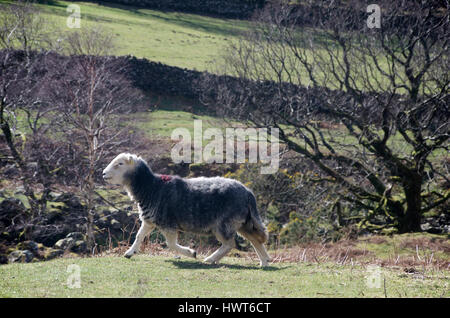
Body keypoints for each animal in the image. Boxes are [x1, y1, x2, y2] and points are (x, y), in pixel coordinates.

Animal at [102, 153, 270, 268]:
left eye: (120, 163)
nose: (103, 173)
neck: (151, 188)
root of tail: (248, 193)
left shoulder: (168, 223)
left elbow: (171, 244)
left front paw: (191, 253)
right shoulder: (149, 221)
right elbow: (138, 236)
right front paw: (129, 253)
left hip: (225, 223)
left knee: (230, 244)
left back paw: (210, 259)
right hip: (242, 222)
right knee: (255, 239)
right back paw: (264, 261)